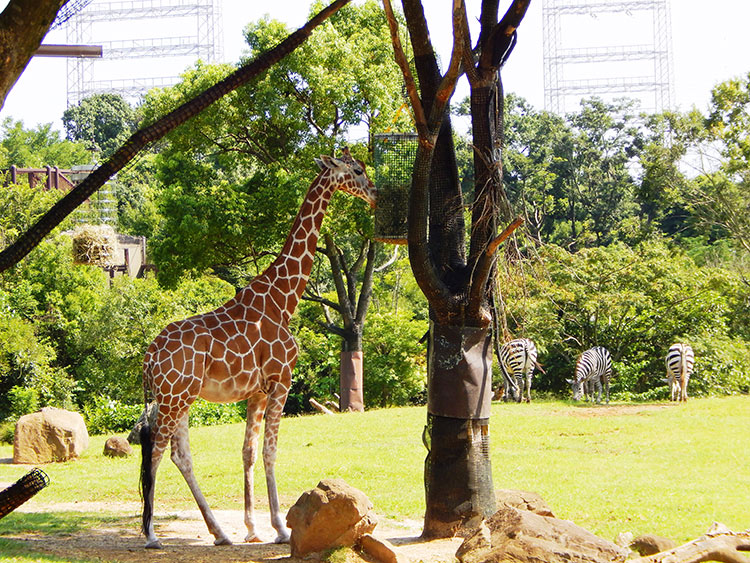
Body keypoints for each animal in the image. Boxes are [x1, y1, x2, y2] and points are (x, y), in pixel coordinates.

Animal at [138, 148, 376, 548]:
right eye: (357, 170)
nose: (375, 194)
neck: (284, 299)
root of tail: (149, 357)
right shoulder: (281, 381)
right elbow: (269, 451)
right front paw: (279, 527)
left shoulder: (257, 391)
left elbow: (248, 452)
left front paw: (251, 528)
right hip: (174, 398)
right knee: (156, 450)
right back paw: (152, 534)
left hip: (180, 398)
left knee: (180, 455)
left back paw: (220, 533)